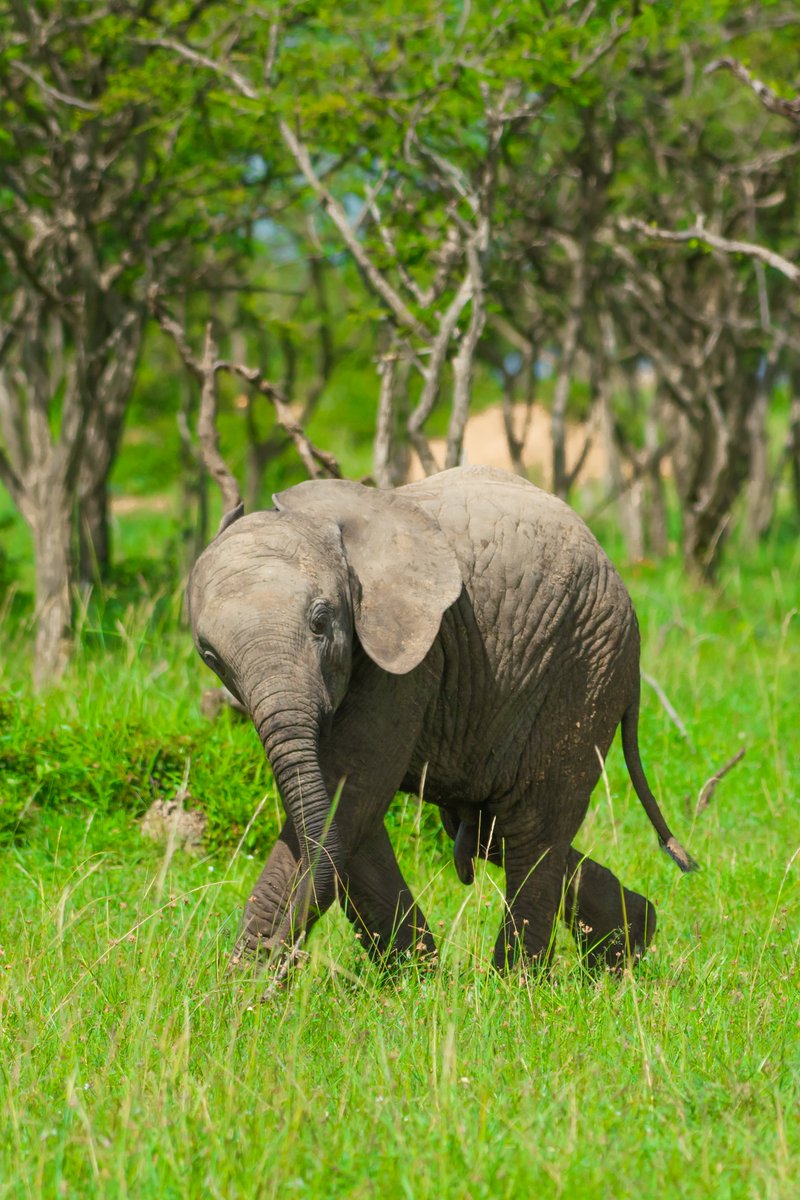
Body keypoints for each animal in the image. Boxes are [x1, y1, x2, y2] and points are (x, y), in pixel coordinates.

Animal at [189, 465, 697, 976]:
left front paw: (247, 983)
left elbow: (350, 795)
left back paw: (517, 983)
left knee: (531, 828)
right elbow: (343, 815)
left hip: (584, 663)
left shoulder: (410, 655)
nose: (285, 956)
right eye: (209, 656)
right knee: (490, 831)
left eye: (320, 621)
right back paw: (626, 945)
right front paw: (414, 978)